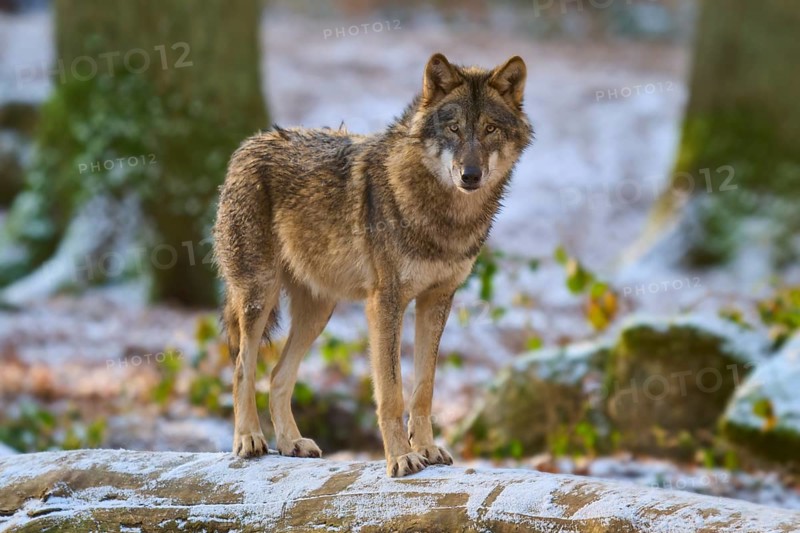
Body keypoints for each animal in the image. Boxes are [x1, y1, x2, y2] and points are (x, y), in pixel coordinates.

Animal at [213, 53, 532, 477]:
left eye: (490, 129)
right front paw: (401, 458)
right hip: (258, 296)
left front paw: (427, 449)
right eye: (454, 128)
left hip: (319, 312)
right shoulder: (386, 302)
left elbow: (424, 389)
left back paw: (291, 442)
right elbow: (392, 392)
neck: (444, 218)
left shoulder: (437, 300)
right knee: (241, 367)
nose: (470, 175)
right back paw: (249, 438)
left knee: (277, 375)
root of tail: (249, 144)